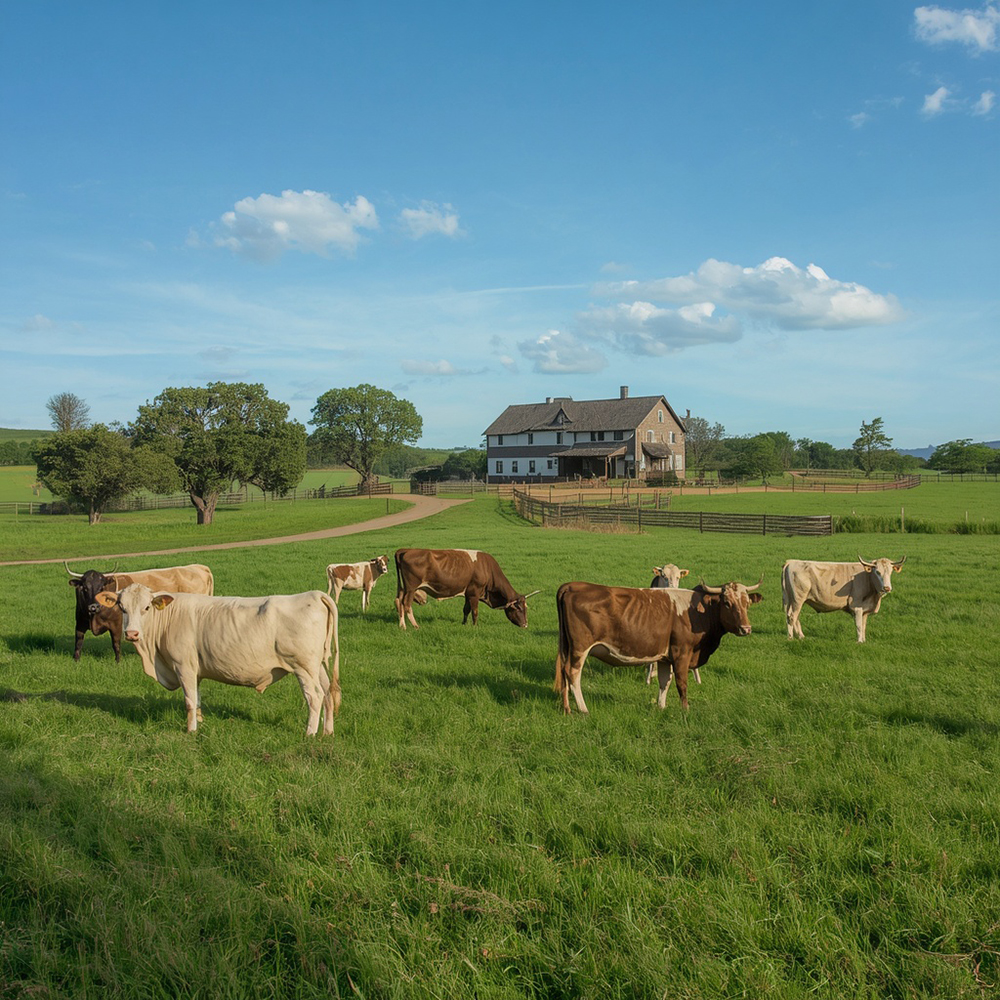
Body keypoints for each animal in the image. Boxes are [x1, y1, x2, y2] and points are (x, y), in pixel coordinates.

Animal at [65, 562, 215, 662]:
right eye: (84, 587)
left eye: (101, 587)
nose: (93, 607)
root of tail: (200, 567)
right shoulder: (80, 623)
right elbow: (78, 643)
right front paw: (76, 661)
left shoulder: (116, 625)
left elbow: (116, 644)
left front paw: (118, 662)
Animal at [95, 583, 340, 735]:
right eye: (122, 607)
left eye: (146, 607)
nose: (131, 633)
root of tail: (314, 594)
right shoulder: (195, 671)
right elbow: (197, 699)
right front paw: (200, 724)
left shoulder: (183, 666)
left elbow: (189, 701)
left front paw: (191, 730)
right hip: (317, 666)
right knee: (328, 693)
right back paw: (327, 732)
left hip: (303, 667)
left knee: (315, 696)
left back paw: (310, 733)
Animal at [394, 548, 538, 630]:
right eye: (518, 608)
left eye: (526, 608)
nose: (525, 625)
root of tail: (405, 550)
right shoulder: (474, 593)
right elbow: (474, 611)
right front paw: (475, 626)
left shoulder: (468, 594)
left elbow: (466, 610)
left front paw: (464, 624)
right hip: (411, 588)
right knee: (406, 604)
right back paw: (415, 625)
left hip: (403, 588)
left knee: (399, 601)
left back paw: (402, 625)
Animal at [554, 577, 763, 715]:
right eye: (727, 603)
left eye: (747, 603)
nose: (746, 628)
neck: (697, 612)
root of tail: (572, 585)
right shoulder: (681, 653)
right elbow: (681, 683)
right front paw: (685, 710)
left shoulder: (665, 657)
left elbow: (665, 682)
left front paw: (661, 706)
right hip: (580, 648)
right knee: (572, 673)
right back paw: (583, 709)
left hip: (568, 648)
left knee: (564, 673)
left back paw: (567, 708)